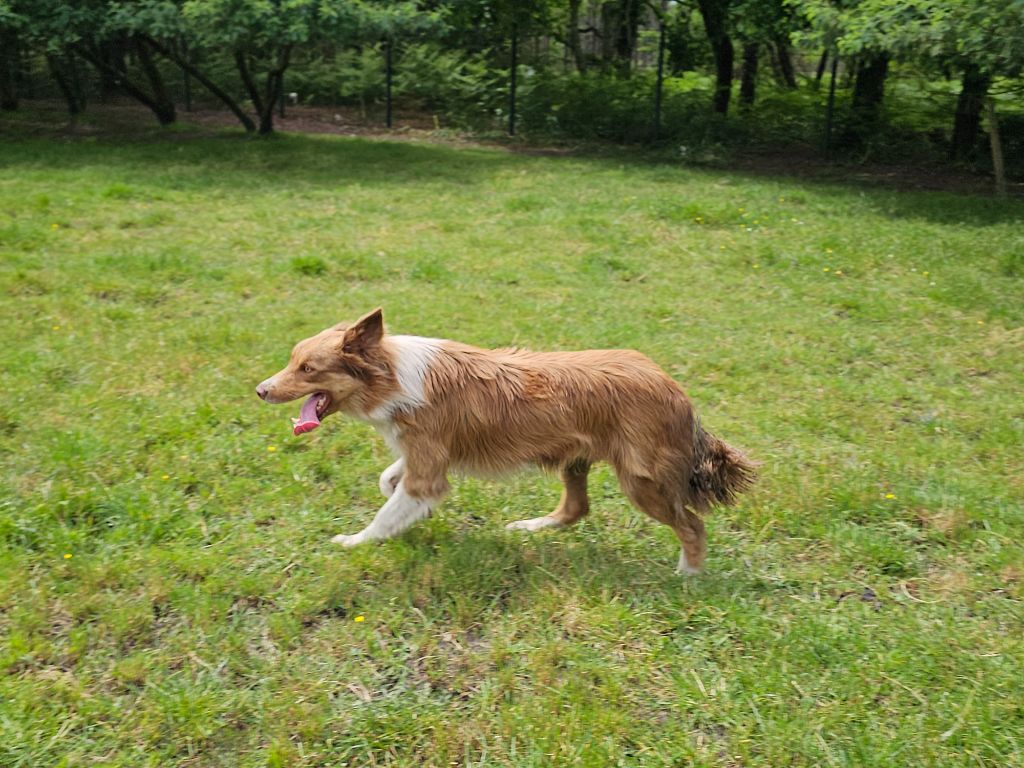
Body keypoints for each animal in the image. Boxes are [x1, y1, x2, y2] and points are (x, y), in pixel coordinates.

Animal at [256, 309, 753, 573]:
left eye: (308, 369)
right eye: (292, 360)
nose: (260, 390)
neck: (391, 373)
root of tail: (676, 389)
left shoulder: (428, 472)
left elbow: (387, 514)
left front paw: (355, 542)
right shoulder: (424, 456)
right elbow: (390, 480)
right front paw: (395, 495)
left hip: (642, 482)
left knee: (692, 525)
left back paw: (688, 573)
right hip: (574, 460)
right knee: (576, 508)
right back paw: (529, 528)